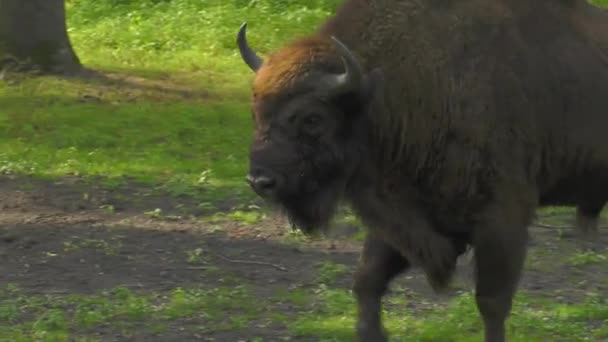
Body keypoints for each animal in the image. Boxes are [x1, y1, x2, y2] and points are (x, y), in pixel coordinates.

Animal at [236, 0, 608, 342]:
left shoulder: (501, 221)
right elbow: (367, 280)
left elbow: (492, 303)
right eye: (256, 111)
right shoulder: (404, 218)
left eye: (313, 118)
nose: (260, 180)